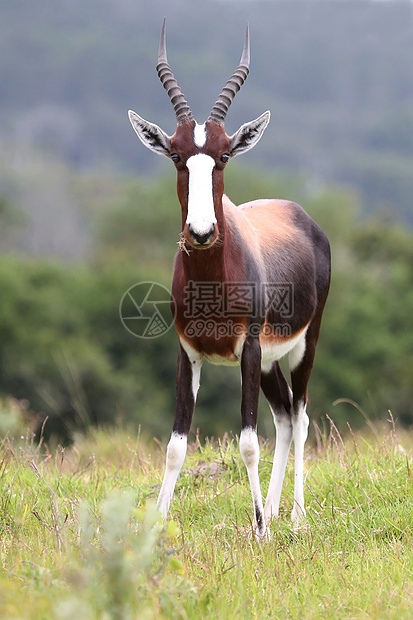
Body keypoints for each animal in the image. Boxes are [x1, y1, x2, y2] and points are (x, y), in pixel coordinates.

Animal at [127, 20, 330, 536]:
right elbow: (176, 444)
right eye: (176, 155)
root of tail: (301, 215)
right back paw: (275, 510)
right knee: (284, 416)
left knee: (300, 416)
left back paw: (293, 517)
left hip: (302, 344)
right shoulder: (187, 352)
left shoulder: (250, 348)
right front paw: (158, 524)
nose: (201, 232)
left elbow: (248, 441)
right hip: (270, 362)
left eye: (222, 156)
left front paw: (259, 530)